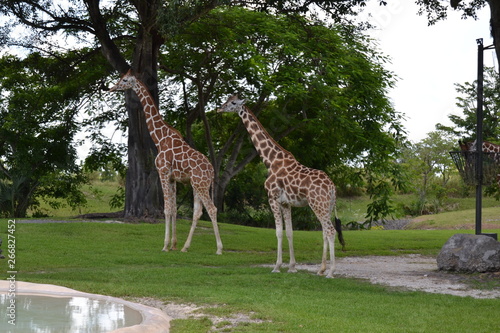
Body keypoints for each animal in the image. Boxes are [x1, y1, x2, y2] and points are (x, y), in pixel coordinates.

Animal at [112, 68, 224, 253]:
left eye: (125, 79)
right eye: (120, 78)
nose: (112, 87)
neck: (160, 138)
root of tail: (212, 171)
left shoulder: (163, 172)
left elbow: (167, 209)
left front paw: (165, 245)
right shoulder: (173, 178)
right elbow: (173, 210)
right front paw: (173, 244)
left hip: (200, 184)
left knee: (212, 209)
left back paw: (219, 249)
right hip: (197, 184)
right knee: (198, 212)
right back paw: (185, 247)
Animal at [217, 94, 346, 276]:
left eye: (233, 103)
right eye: (227, 100)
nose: (219, 108)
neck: (270, 160)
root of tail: (333, 187)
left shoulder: (272, 198)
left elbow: (278, 232)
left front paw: (277, 266)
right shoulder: (286, 203)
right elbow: (290, 232)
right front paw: (292, 267)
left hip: (317, 204)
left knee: (330, 230)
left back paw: (330, 272)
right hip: (326, 206)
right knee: (324, 232)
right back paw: (321, 270)